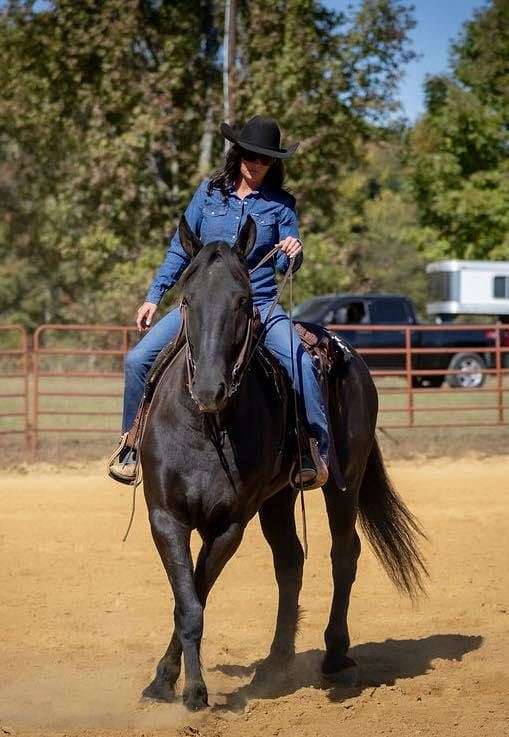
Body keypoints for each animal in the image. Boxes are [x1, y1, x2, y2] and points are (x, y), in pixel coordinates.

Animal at [140, 213, 424, 708]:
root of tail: (345, 351)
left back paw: (336, 658)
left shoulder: (228, 525)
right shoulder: (165, 518)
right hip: (278, 498)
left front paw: (193, 691)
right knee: (290, 561)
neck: (205, 429)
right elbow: (187, 599)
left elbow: (194, 600)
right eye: (187, 300)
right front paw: (165, 683)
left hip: (343, 483)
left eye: (242, 301)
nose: (210, 388)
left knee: (343, 555)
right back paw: (274, 664)